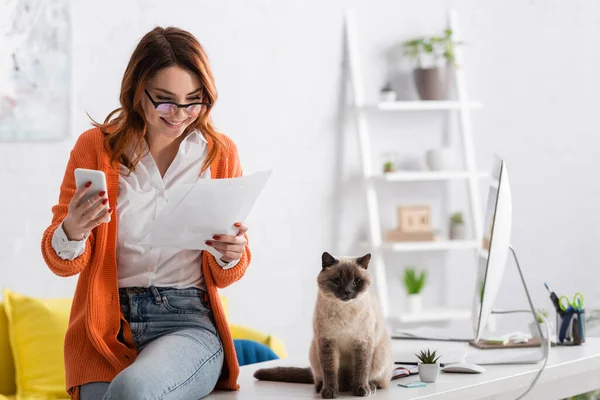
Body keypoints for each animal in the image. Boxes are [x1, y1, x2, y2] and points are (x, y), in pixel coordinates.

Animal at [253, 252, 394, 398]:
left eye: (356, 281)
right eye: (337, 280)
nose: (347, 292)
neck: (343, 310)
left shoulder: (362, 342)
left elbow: (362, 369)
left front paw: (361, 390)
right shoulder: (327, 342)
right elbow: (329, 371)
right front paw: (330, 392)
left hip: (379, 354)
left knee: (377, 380)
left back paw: (369, 387)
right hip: (314, 351)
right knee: (322, 378)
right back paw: (327, 387)